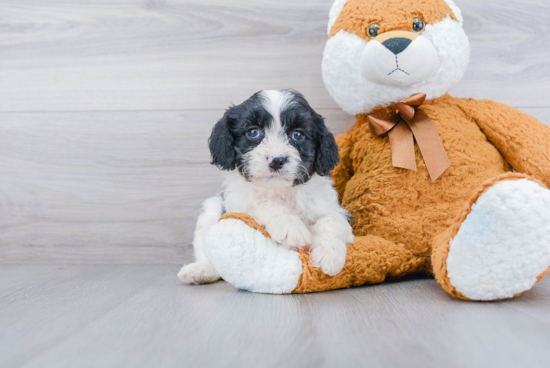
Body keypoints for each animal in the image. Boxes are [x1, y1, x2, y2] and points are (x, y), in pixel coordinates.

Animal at [179, 90, 356, 284]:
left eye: (298, 135)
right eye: (253, 132)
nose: (276, 160)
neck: (280, 190)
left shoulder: (333, 207)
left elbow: (332, 221)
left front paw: (329, 255)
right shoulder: (239, 203)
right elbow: (264, 202)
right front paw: (290, 227)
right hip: (211, 209)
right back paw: (200, 270)